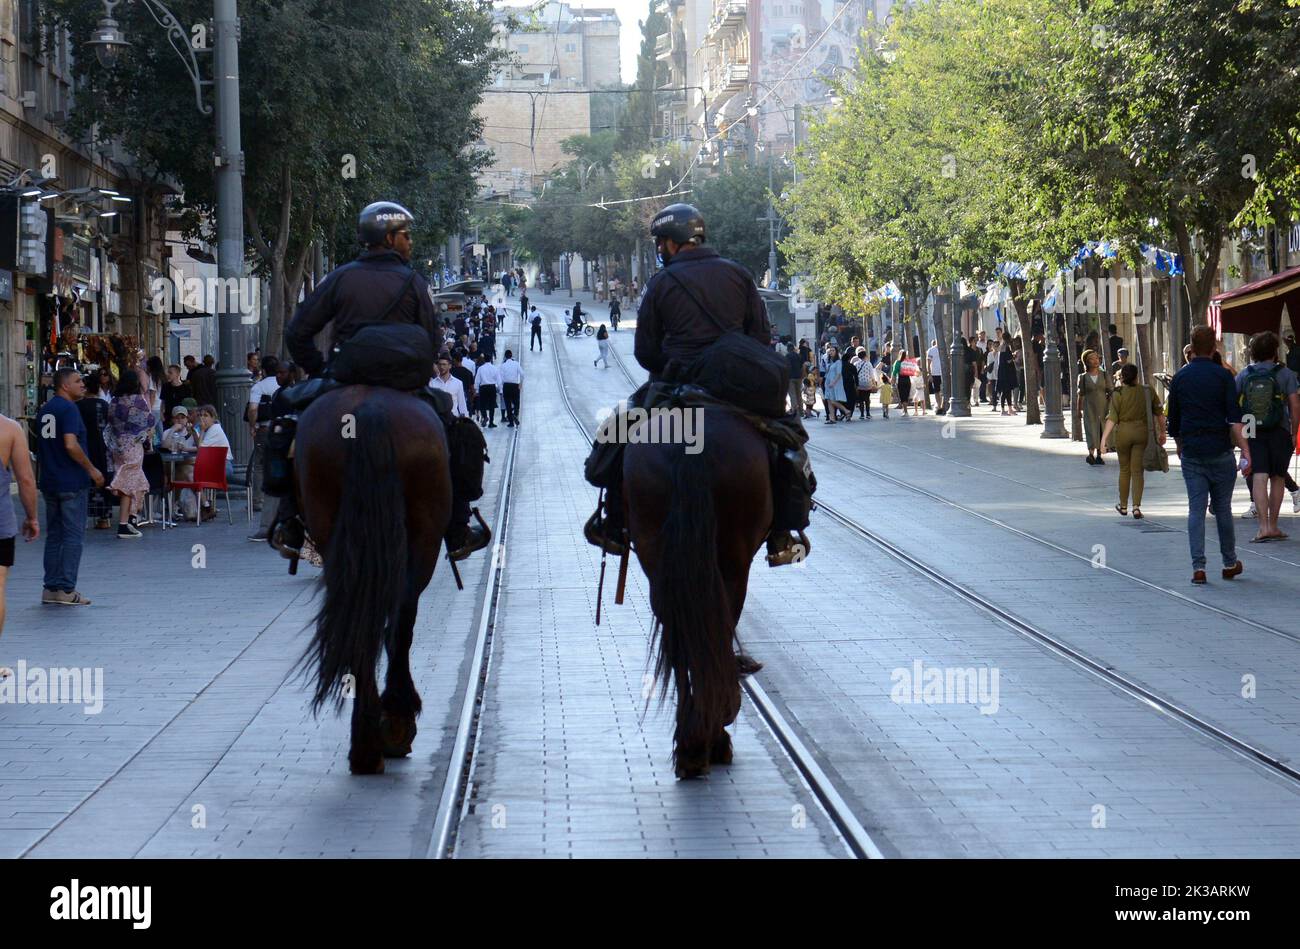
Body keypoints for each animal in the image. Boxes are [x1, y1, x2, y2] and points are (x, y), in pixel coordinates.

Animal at [621, 405, 764, 774]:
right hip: (733, 556)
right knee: (716, 626)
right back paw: (709, 736)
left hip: (656, 549)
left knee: (682, 633)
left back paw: (692, 743)